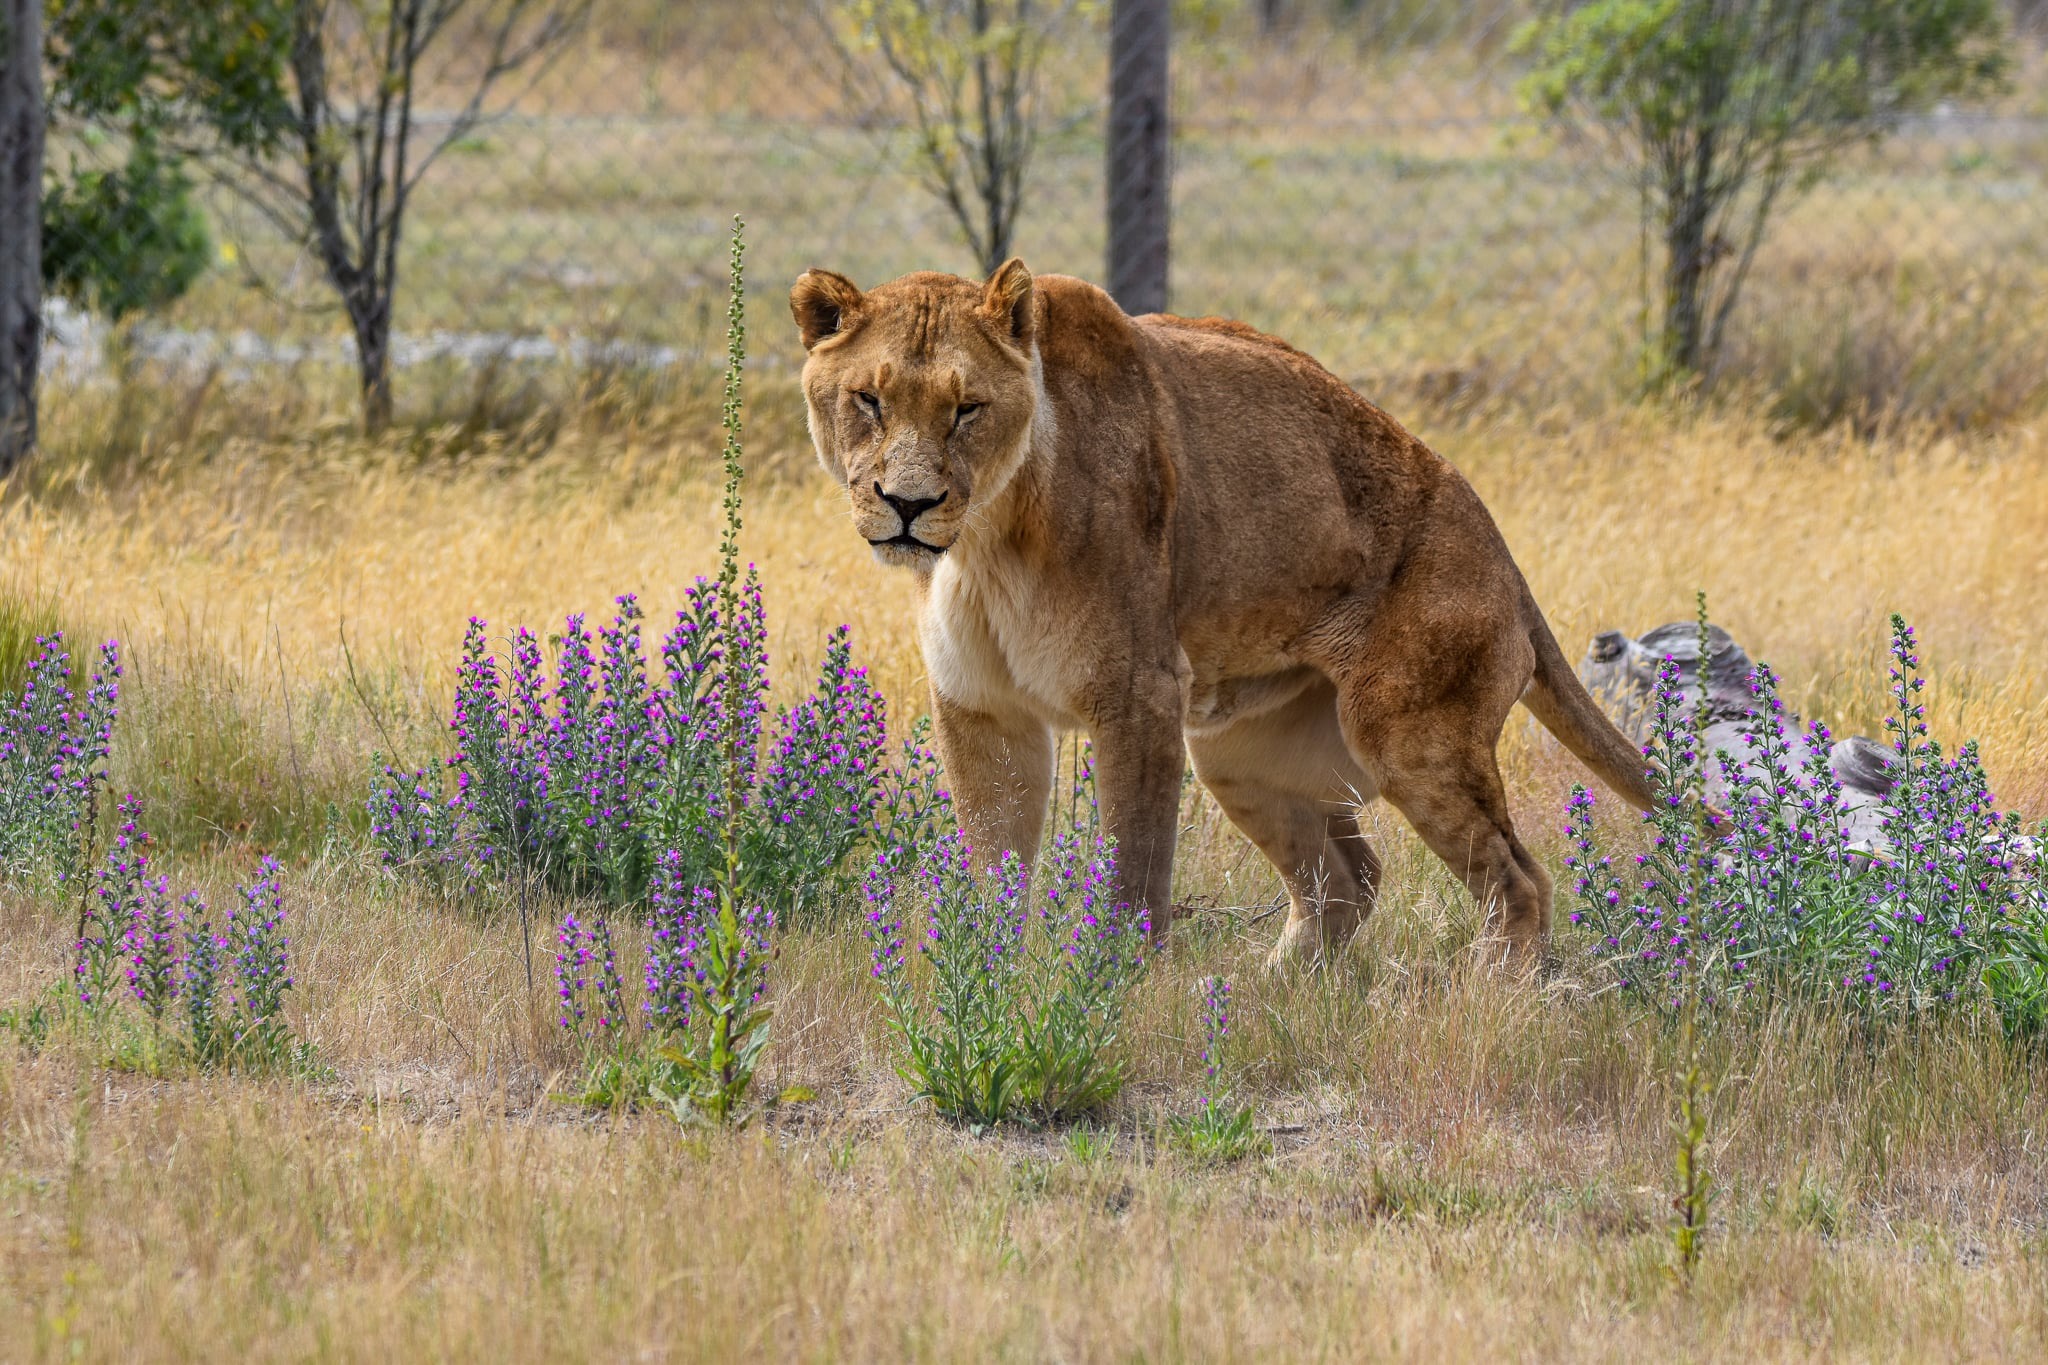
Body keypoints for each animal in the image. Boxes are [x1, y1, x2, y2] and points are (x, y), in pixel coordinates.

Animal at [790, 259, 1656, 966]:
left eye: (967, 408)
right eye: (868, 399)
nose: (908, 505)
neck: (984, 542)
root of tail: (1504, 554)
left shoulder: (1138, 693)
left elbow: (1132, 868)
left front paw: (1109, 991)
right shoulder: (983, 710)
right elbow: (993, 867)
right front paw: (985, 974)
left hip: (1410, 733)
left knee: (1520, 880)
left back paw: (1494, 998)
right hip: (1242, 755)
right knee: (1348, 879)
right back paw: (1275, 992)